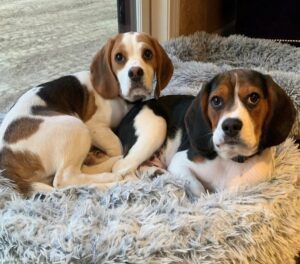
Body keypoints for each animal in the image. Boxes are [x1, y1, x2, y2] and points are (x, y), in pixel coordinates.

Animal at [0, 32, 173, 195]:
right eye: (119, 57)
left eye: (148, 54)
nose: (136, 72)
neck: (121, 98)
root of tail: (6, 166)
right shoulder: (94, 126)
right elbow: (116, 144)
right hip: (75, 126)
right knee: (65, 178)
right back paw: (110, 173)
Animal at [115, 68, 296, 196]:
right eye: (216, 100)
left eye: (254, 97)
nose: (230, 125)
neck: (232, 160)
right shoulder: (179, 162)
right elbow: (199, 188)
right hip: (156, 126)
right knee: (122, 167)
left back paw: (155, 172)